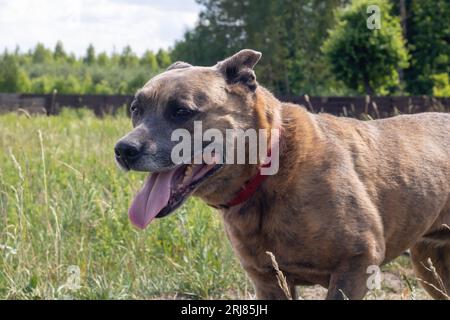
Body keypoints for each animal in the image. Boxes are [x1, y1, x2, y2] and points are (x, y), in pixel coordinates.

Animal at [116, 48, 450, 298]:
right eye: (135, 108)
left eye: (182, 111)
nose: (123, 149)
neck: (269, 170)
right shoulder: (268, 279)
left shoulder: (356, 264)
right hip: (430, 266)